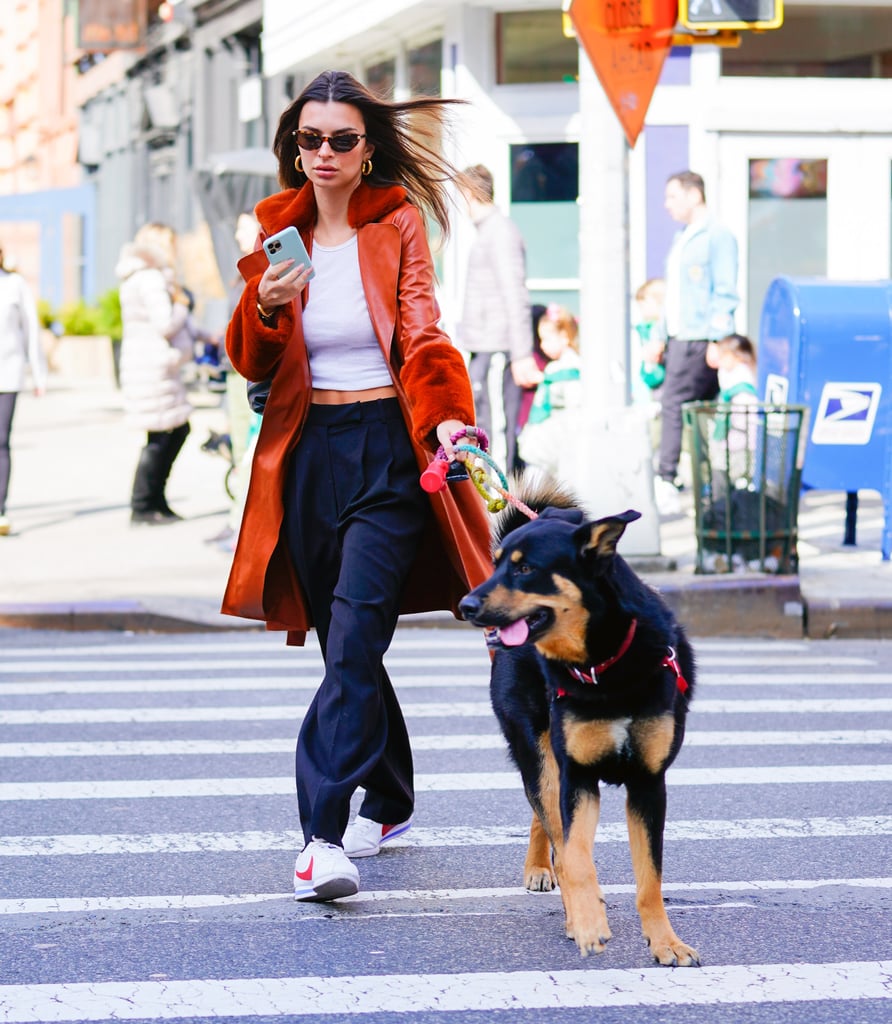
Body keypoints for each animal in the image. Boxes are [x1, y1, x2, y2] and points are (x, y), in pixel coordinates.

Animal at [464, 483, 700, 962]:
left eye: (526, 569)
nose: (465, 605)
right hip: (536, 748)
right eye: (496, 565)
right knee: (549, 817)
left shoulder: (648, 783)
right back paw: (556, 887)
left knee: (543, 814)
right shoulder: (578, 776)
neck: (604, 664)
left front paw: (665, 942)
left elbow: (650, 878)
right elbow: (575, 855)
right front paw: (589, 922)